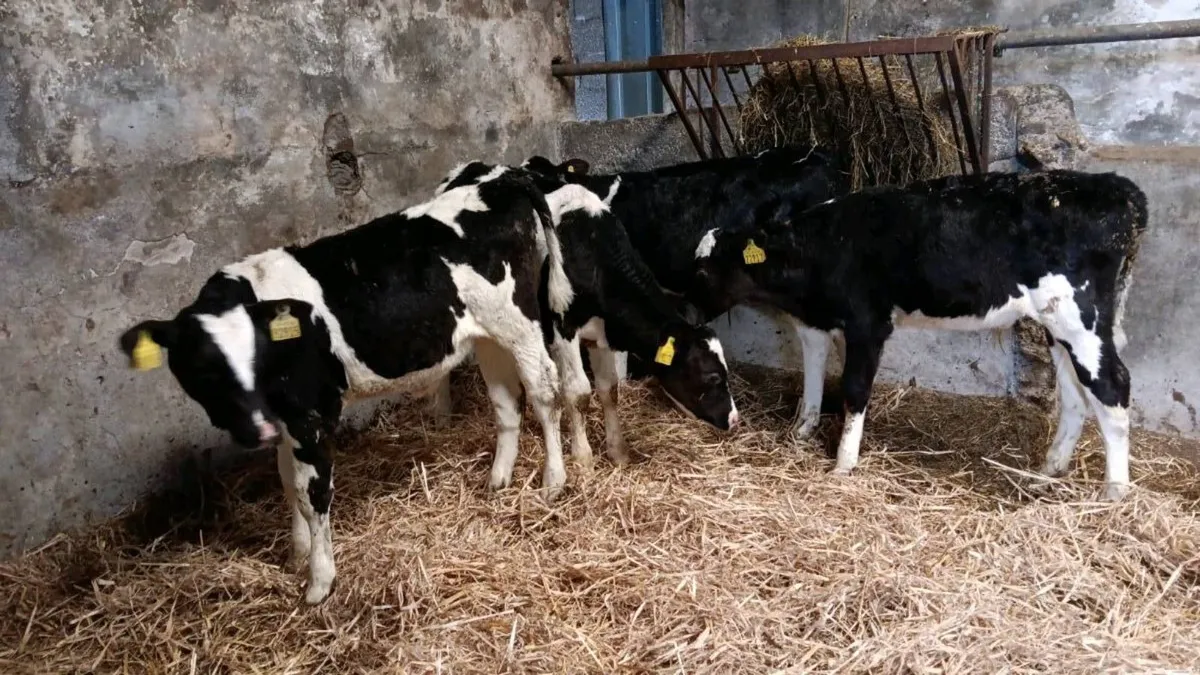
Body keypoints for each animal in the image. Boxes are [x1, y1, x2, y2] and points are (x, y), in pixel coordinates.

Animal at [117, 172, 579, 605]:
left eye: (258, 355)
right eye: (204, 369)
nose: (256, 431)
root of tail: (502, 180)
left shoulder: (312, 415)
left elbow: (311, 494)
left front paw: (319, 581)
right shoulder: (285, 420)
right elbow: (287, 483)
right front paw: (297, 553)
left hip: (520, 324)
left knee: (544, 393)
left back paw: (553, 480)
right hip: (488, 335)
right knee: (506, 403)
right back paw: (498, 479)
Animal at [434, 161, 740, 469]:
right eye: (712, 377)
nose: (734, 419)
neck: (591, 251)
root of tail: (473, 166)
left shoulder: (599, 334)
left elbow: (609, 390)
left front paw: (617, 451)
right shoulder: (563, 329)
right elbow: (578, 392)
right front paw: (582, 458)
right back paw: (443, 415)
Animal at [682, 169, 1148, 502]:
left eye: (704, 272)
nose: (684, 308)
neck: (821, 248)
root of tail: (1118, 188)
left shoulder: (868, 323)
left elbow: (854, 388)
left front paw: (844, 463)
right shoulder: (816, 323)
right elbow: (812, 375)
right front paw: (802, 431)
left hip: (1080, 318)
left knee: (1113, 386)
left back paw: (1113, 495)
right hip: (1060, 326)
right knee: (1075, 394)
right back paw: (1048, 471)